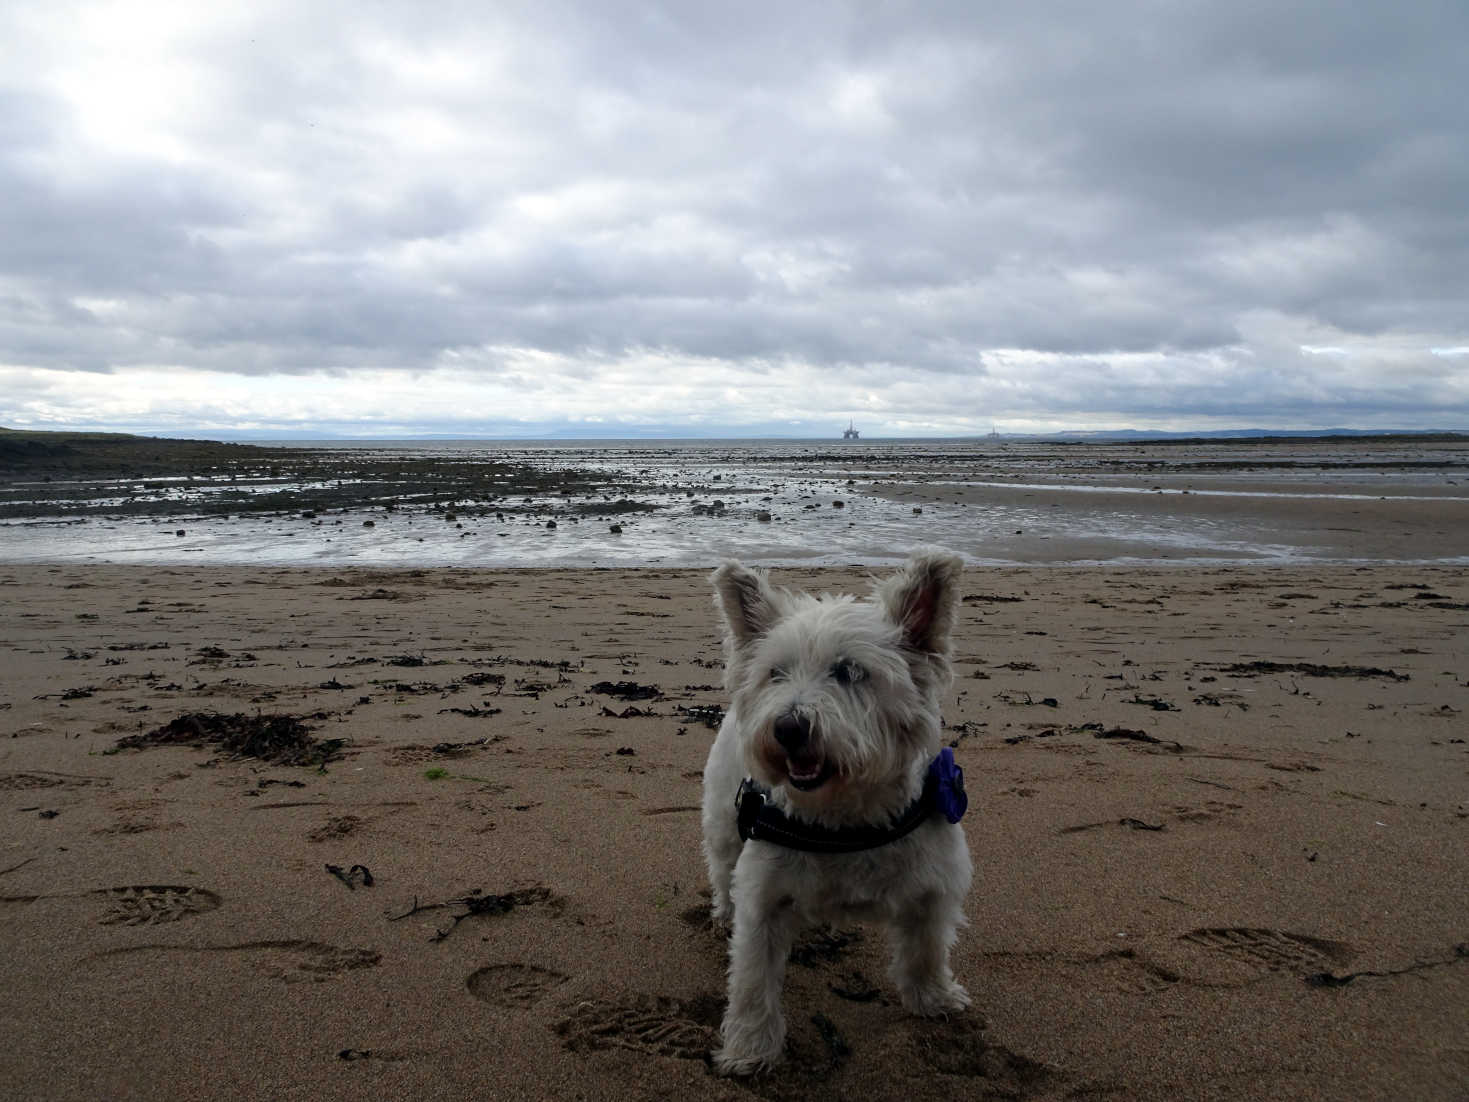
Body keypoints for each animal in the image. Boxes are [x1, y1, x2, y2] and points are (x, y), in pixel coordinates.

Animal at [702, 552, 975, 1081]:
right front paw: (750, 1049)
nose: (788, 728)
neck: (843, 820)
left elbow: (927, 949)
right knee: (722, 870)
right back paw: (722, 912)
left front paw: (934, 999)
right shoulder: (762, 899)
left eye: (849, 672)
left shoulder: (933, 887)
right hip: (724, 823)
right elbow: (752, 981)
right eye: (775, 673)